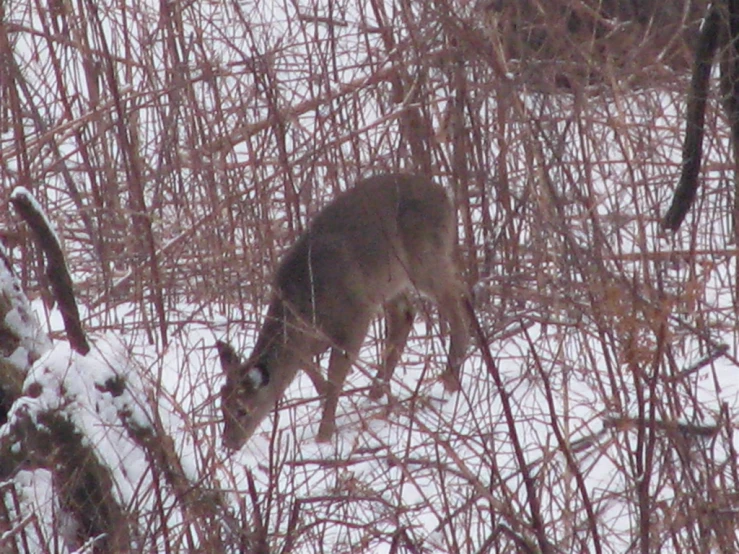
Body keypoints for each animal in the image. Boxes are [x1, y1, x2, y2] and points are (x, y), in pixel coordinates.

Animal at [218, 172, 468, 448]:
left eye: (242, 409)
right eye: (221, 407)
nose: (227, 444)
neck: (304, 304)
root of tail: (445, 195)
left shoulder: (357, 315)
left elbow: (335, 375)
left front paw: (324, 435)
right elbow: (313, 370)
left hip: (425, 258)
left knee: (457, 298)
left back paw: (450, 381)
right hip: (389, 282)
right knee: (406, 314)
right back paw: (376, 393)